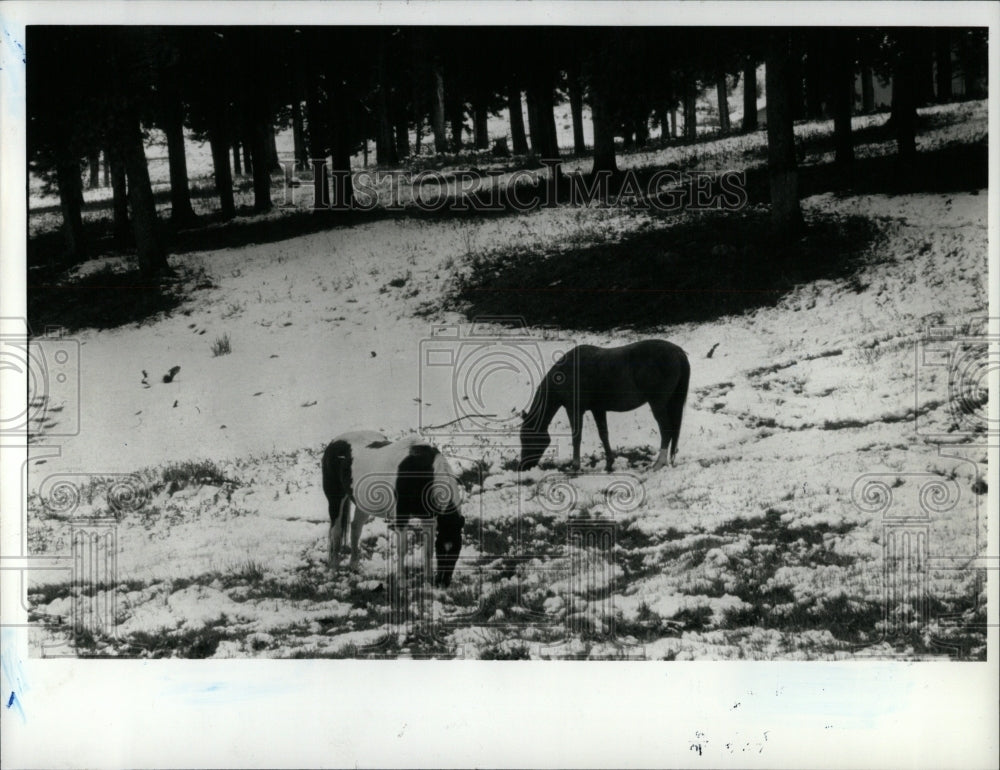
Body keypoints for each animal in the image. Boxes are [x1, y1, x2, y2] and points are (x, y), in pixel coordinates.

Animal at [320, 428, 464, 584]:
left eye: (457, 551)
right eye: (441, 550)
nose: (443, 583)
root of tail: (334, 442)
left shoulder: (429, 519)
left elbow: (427, 549)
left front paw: (427, 580)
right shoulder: (401, 517)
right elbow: (402, 548)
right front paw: (401, 580)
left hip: (364, 505)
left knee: (355, 528)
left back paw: (353, 566)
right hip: (336, 499)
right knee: (336, 531)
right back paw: (333, 569)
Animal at [524, 340, 688, 472]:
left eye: (527, 438)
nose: (524, 467)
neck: (566, 374)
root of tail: (678, 352)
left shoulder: (574, 410)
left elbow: (576, 436)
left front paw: (575, 466)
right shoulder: (598, 410)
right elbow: (603, 434)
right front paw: (609, 463)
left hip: (658, 404)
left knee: (666, 430)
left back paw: (658, 464)